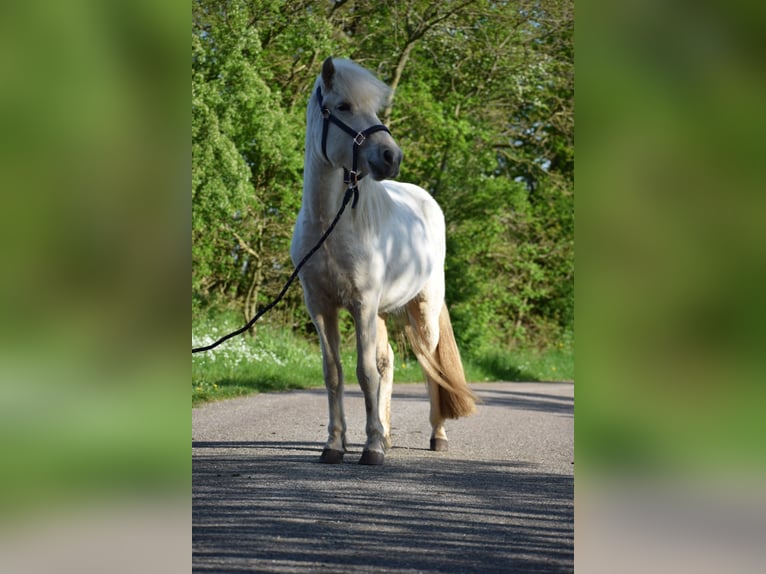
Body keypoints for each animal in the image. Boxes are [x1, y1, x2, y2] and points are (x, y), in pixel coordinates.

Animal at [292, 56, 476, 466]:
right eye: (343, 107)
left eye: (374, 109)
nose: (393, 157)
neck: (330, 225)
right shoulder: (322, 307)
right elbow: (335, 373)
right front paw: (336, 445)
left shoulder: (362, 305)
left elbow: (364, 373)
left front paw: (371, 448)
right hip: (381, 313)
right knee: (388, 361)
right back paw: (388, 434)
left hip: (422, 312)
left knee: (429, 366)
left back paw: (436, 436)